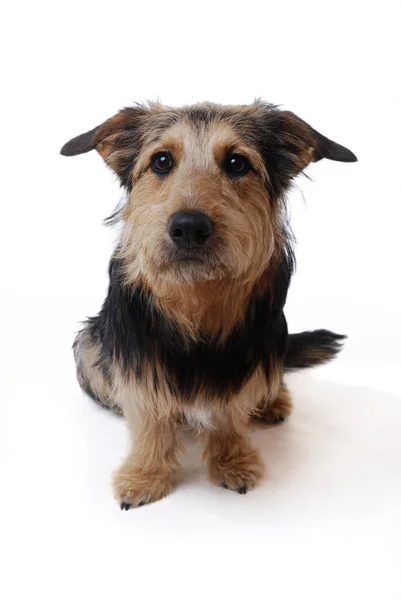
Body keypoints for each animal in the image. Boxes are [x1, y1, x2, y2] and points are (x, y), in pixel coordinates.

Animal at [61, 101, 356, 508]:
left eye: (236, 163)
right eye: (161, 161)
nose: (188, 227)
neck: (197, 294)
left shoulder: (245, 358)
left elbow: (230, 415)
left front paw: (232, 463)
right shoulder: (138, 361)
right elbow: (150, 421)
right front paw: (145, 475)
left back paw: (272, 402)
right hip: (90, 341)